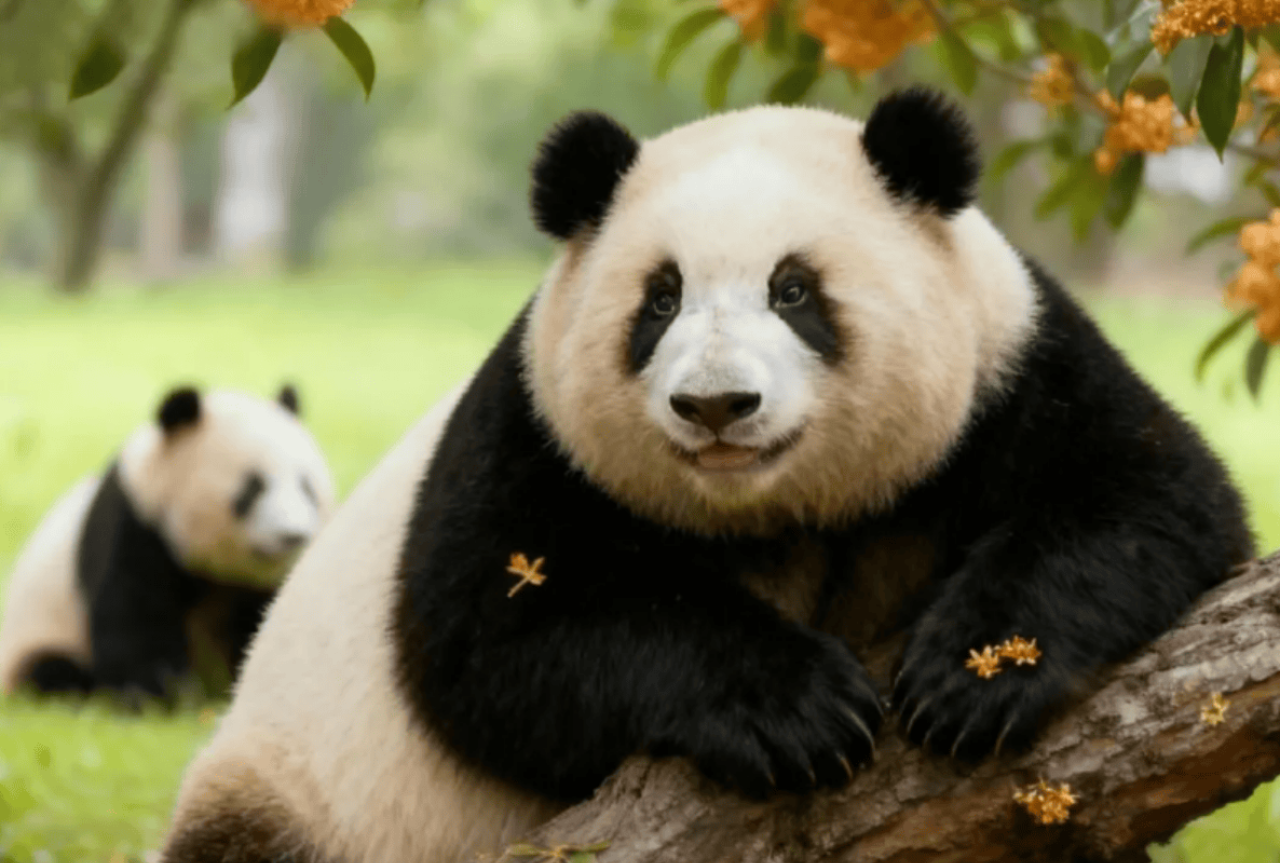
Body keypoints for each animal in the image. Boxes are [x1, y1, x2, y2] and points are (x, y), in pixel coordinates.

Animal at [0, 384, 335, 700]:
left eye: (307, 488)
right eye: (253, 488)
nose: (293, 536)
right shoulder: (137, 521)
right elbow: (136, 612)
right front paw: (162, 693)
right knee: (49, 671)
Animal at [158, 88, 1254, 863]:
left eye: (795, 290)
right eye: (659, 299)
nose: (716, 404)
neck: (779, 513)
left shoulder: (1009, 365)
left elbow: (1147, 499)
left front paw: (972, 674)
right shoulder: (531, 427)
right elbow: (497, 637)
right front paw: (796, 709)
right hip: (294, 783)